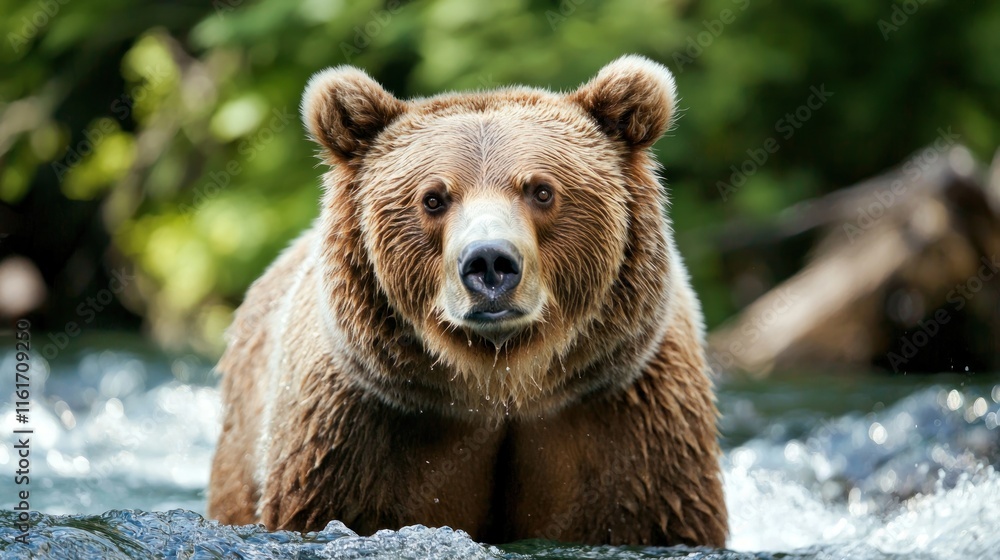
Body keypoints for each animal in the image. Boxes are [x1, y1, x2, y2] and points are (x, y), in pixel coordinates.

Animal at [207, 54, 727, 547]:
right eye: (433, 198)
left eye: (542, 190)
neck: (498, 385)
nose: (490, 262)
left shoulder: (626, 420)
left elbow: (651, 510)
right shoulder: (357, 431)